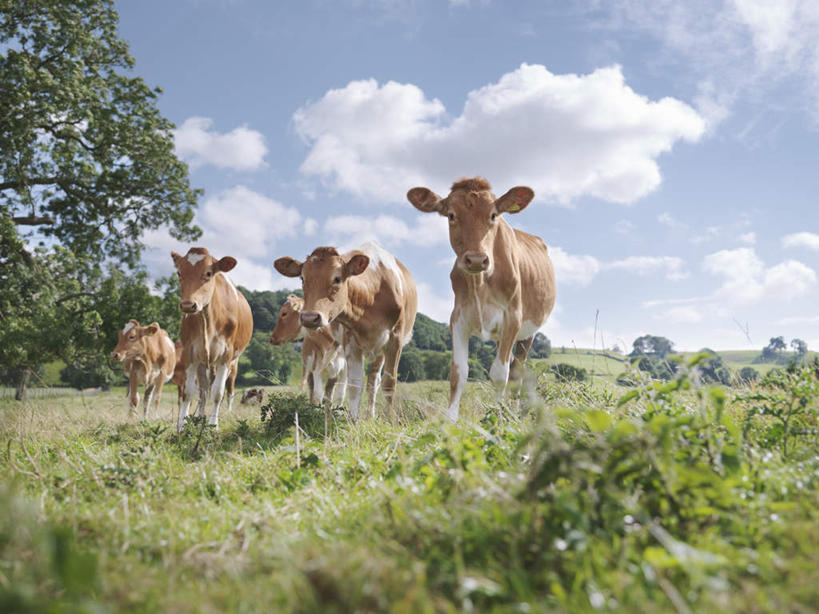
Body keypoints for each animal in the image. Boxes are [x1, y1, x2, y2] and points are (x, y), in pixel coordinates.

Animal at [171, 247, 253, 434]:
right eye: (179, 272)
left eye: (208, 273)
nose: (188, 305)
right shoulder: (189, 354)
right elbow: (189, 392)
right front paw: (182, 425)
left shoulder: (226, 355)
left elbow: (217, 392)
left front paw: (213, 425)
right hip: (203, 363)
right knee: (203, 391)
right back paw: (200, 417)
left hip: (234, 363)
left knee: (227, 390)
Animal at [278, 243, 420, 422]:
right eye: (302, 278)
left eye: (337, 278)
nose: (310, 317)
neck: (371, 299)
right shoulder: (349, 341)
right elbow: (354, 385)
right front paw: (353, 421)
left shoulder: (395, 339)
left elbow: (389, 383)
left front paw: (390, 420)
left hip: (379, 350)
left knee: (374, 381)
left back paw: (371, 415)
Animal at [408, 176, 556, 422]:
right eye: (451, 215)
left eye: (493, 215)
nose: (477, 259)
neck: (480, 282)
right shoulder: (458, 318)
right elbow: (458, 372)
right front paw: (449, 421)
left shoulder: (513, 318)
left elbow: (500, 374)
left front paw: (497, 418)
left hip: (529, 332)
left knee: (517, 371)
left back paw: (515, 413)